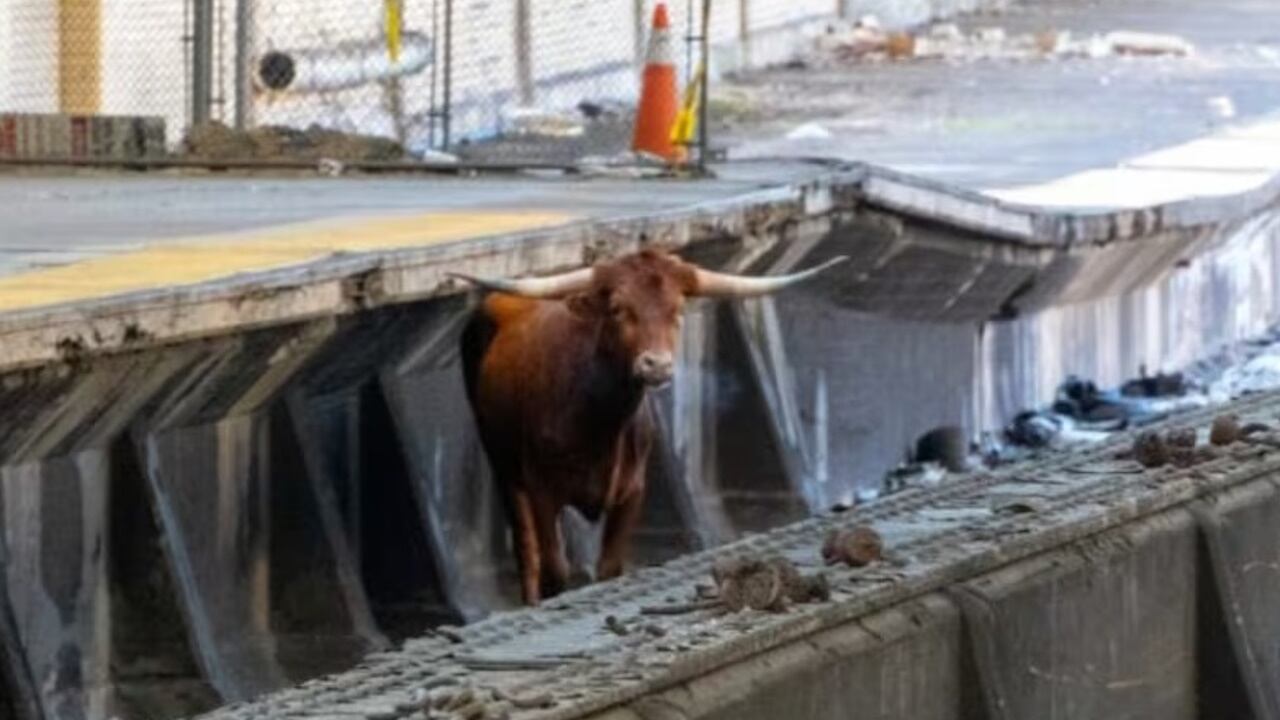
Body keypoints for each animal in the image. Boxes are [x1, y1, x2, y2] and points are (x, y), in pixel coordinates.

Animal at [453, 248, 846, 605]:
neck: (597, 424)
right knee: (526, 552)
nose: (656, 365)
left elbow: (609, 568)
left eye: (677, 310)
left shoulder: (632, 491)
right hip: (504, 468)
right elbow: (554, 571)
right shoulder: (542, 490)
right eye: (618, 308)